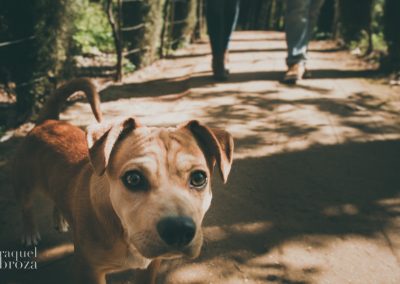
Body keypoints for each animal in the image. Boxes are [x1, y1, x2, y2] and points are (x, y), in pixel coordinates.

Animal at [12, 79, 234, 284]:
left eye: (199, 178)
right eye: (133, 178)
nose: (178, 230)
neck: (123, 230)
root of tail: (47, 121)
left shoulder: (149, 267)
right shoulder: (89, 270)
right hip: (25, 183)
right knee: (26, 207)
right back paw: (29, 233)